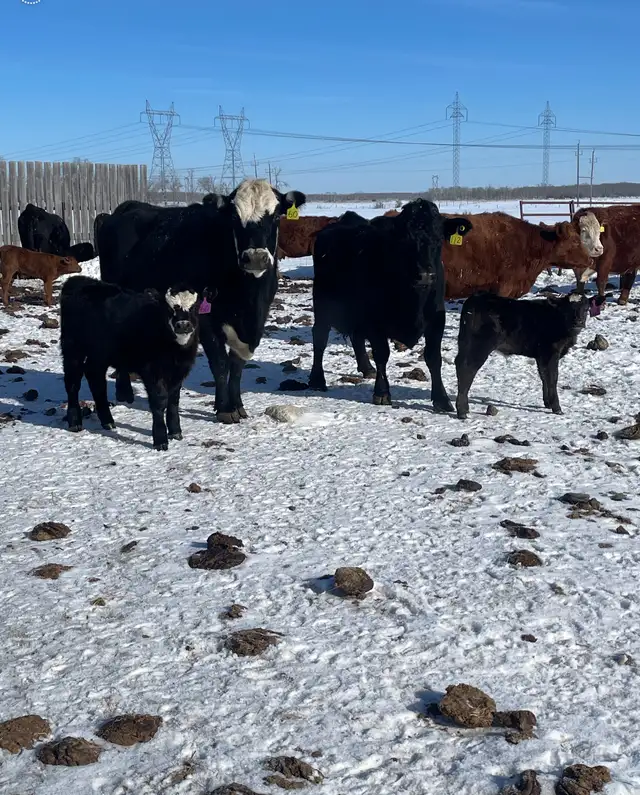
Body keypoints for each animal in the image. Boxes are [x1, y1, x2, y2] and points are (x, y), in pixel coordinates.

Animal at [60, 275, 200, 450]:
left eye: (194, 307)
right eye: (168, 309)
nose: (183, 325)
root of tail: (77, 280)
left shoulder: (180, 371)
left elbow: (174, 400)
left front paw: (175, 431)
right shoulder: (152, 370)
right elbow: (160, 401)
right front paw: (160, 439)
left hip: (99, 354)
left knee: (95, 378)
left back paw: (107, 421)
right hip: (72, 347)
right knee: (73, 382)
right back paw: (75, 422)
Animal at [97, 178, 307, 424]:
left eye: (275, 216)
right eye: (234, 218)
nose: (255, 258)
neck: (248, 300)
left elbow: (237, 366)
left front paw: (238, 405)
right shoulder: (205, 320)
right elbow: (220, 363)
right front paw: (225, 409)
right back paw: (124, 392)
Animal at [309, 199, 472, 411]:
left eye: (439, 239)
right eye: (405, 241)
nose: (425, 275)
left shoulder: (437, 318)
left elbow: (433, 358)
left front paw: (442, 399)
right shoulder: (374, 319)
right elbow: (382, 354)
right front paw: (382, 393)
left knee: (356, 336)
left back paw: (366, 368)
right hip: (323, 304)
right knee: (320, 337)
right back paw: (317, 380)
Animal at [455, 291, 606, 419]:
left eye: (585, 308)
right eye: (567, 309)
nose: (578, 322)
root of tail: (476, 298)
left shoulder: (541, 356)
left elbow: (544, 377)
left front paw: (547, 403)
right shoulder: (550, 353)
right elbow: (553, 378)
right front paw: (557, 408)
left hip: (465, 343)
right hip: (480, 345)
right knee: (467, 369)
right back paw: (462, 411)